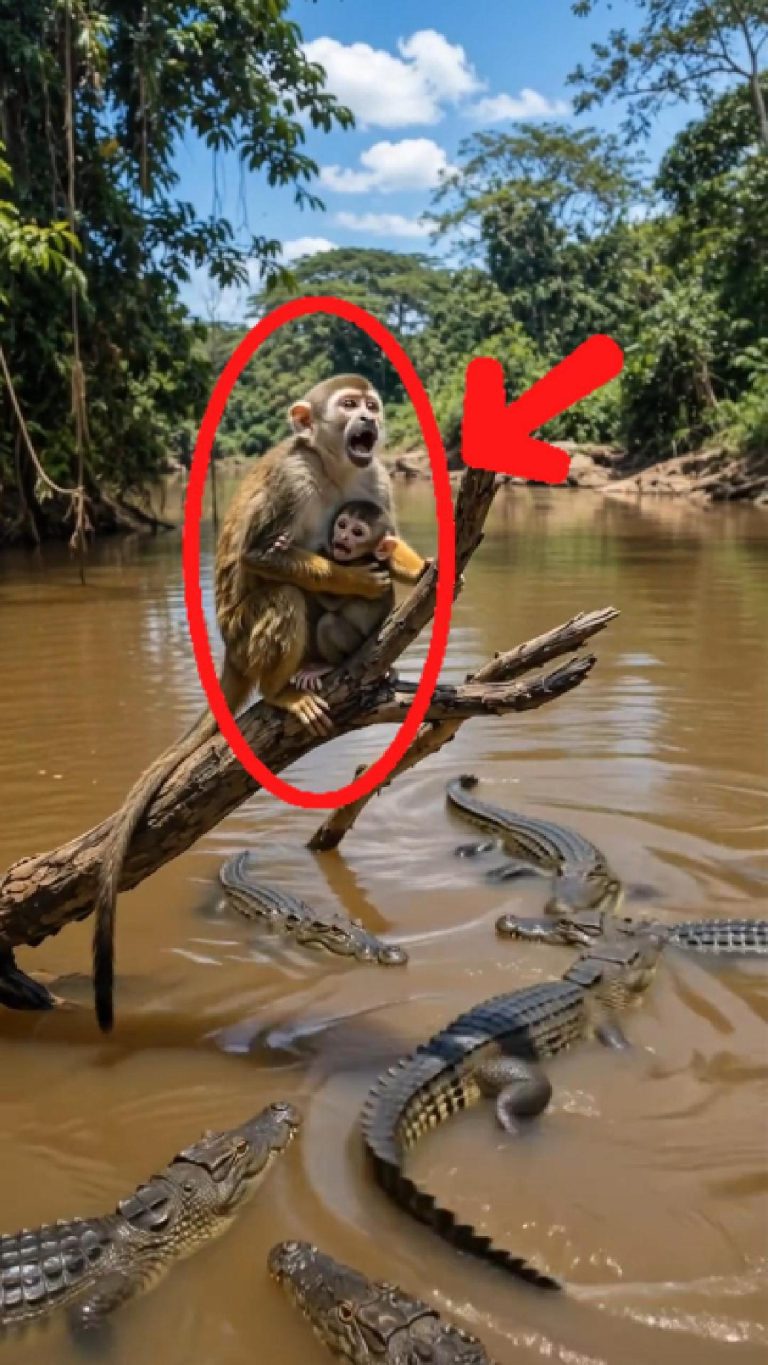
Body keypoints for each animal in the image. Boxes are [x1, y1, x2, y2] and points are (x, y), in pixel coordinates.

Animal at [91, 374, 424, 1033]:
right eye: (350, 406)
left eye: (371, 406)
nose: (371, 419)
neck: (333, 467)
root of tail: (231, 652)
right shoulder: (292, 478)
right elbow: (259, 555)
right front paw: (352, 575)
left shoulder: (374, 480)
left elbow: (390, 538)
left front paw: (412, 562)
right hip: (244, 633)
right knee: (283, 593)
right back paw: (282, 690)